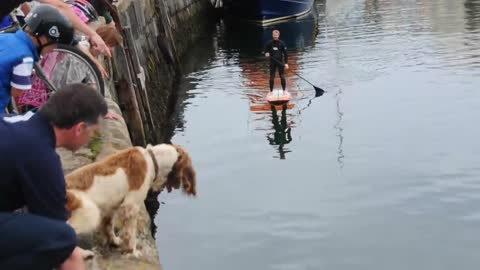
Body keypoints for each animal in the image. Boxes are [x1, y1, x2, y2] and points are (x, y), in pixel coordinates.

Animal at [65, 143, 197, 258]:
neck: (151, 159)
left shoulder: (112, 208)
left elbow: (108, 226)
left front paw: (114, 241)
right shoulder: (131, 207)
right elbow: (131, 234)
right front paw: (133, 252)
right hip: (90, 212)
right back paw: (82, 254)